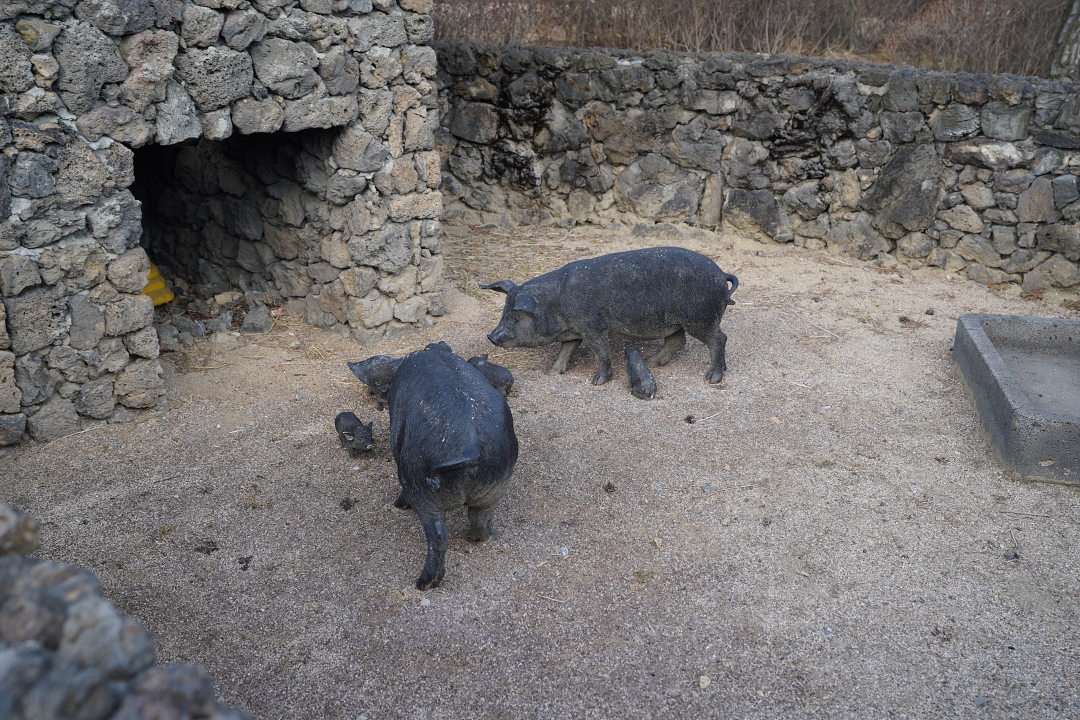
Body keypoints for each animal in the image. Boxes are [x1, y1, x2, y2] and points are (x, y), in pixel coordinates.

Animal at [388, 341, 519, 590]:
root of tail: (471, 449)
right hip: (496, 486)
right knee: (480, 518)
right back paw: (486, 536)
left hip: (422, 492)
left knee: (439, 536)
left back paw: (423, 584)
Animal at [481, 246, 738, 386]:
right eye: (504, 311)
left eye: (515, 318)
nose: (491, 337)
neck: (556, 303)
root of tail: (720, 274)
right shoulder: (575, 331)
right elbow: (566, 349)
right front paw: (552, 372)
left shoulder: (594, 327)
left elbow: (601, 353)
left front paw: (596, 382)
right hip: (674, 322)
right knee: (678, 341)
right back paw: (651, 362)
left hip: (699, 317)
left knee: (719, 338)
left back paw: (712, 378)